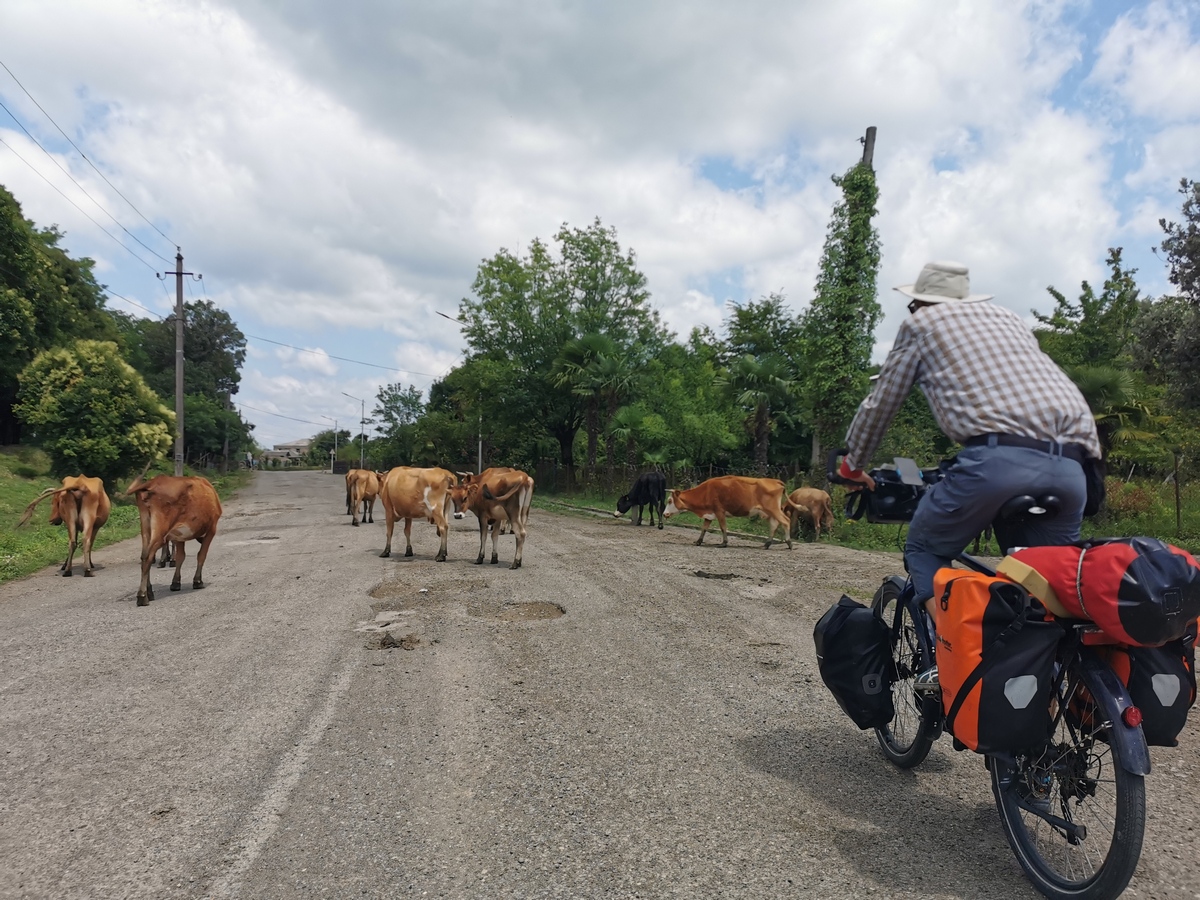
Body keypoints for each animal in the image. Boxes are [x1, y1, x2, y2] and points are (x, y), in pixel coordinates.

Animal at [123, 469, 222, 607]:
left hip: (146, 527)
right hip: (160, 529)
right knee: (148, 556)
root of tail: (153, 482)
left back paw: (149, 592)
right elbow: (201, 555)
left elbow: (181, 557)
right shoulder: (211, 529)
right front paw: (197, 581)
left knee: (144, 556)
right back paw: (142, 596)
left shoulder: (179, 535)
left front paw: (176, 582)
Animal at [663, 476, 796, 549]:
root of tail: (776, 481)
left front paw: (724, 543)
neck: (705, 491)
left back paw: (789, 543)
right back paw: (767, 543)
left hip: (773, 509)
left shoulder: (719, 511)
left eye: (669, 500)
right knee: (774, 524)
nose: (664, 514)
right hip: (768, 511)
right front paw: (698, 541)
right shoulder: (709, 514)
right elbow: (704, 528)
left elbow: (723, 527)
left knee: (785, 521)